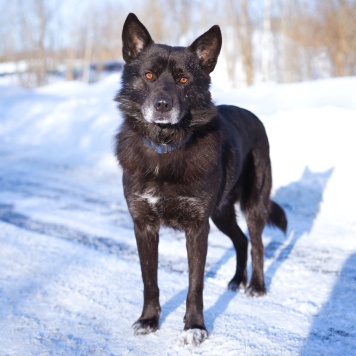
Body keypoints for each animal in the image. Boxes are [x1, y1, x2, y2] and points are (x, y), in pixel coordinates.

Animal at [115, 13, 288, 344]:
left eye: (183, 80)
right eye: (148, 75)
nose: (162, 105)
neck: (166, 148)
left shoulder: (197, 227)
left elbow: (195, 284)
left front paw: (194, 327)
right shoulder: (143, 225)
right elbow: (149, 279)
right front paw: (148, 320)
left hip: (252, 205)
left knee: (256, 243)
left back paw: (256, 286)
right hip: (221, 213)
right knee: (241, 240)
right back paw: (236, 280)